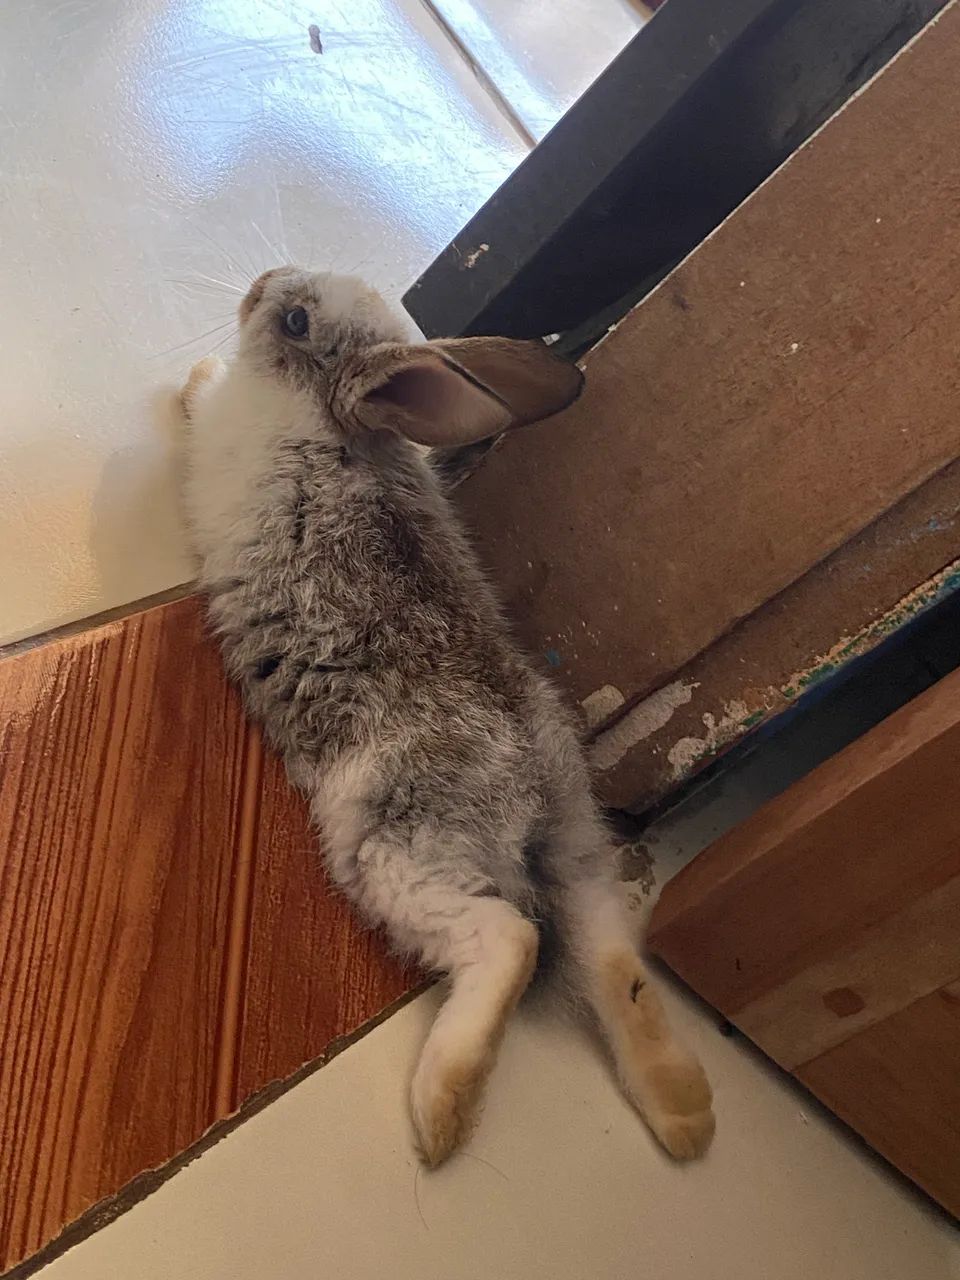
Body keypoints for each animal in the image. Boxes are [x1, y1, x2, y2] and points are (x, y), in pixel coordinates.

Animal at [176, 267, 715, 1166]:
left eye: (297, 319)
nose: (260, 284)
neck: (333, 417)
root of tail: (536, 797)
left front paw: (192, 379)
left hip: (397, 851)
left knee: (512, 940)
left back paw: (441, 1114)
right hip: (582, 854)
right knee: (613, 961)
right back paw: (686, 1117)